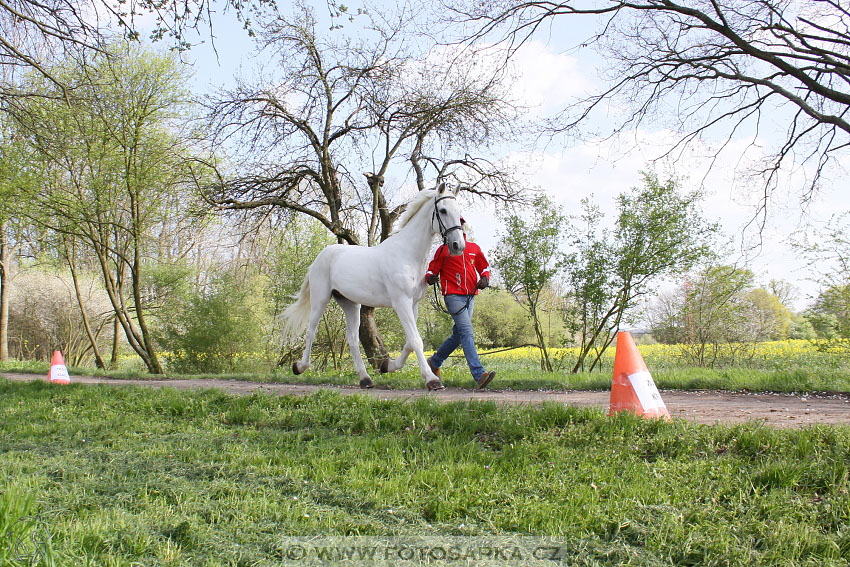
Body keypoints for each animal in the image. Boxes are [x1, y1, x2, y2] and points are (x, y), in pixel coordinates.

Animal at [280, 184, 464, 392]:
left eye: (459, 212)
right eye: (443, 210)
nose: (458, 245)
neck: (407, 255)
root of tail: (320, 258)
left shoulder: (413, 304)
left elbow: (409, 342)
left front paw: (388, 366)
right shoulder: (401, 303)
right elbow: (416, 340)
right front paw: (432, 380)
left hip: (350, 304)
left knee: (352, 338)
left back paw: (365, 379)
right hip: (320, 300)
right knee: (311, 332)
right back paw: (299, 367)